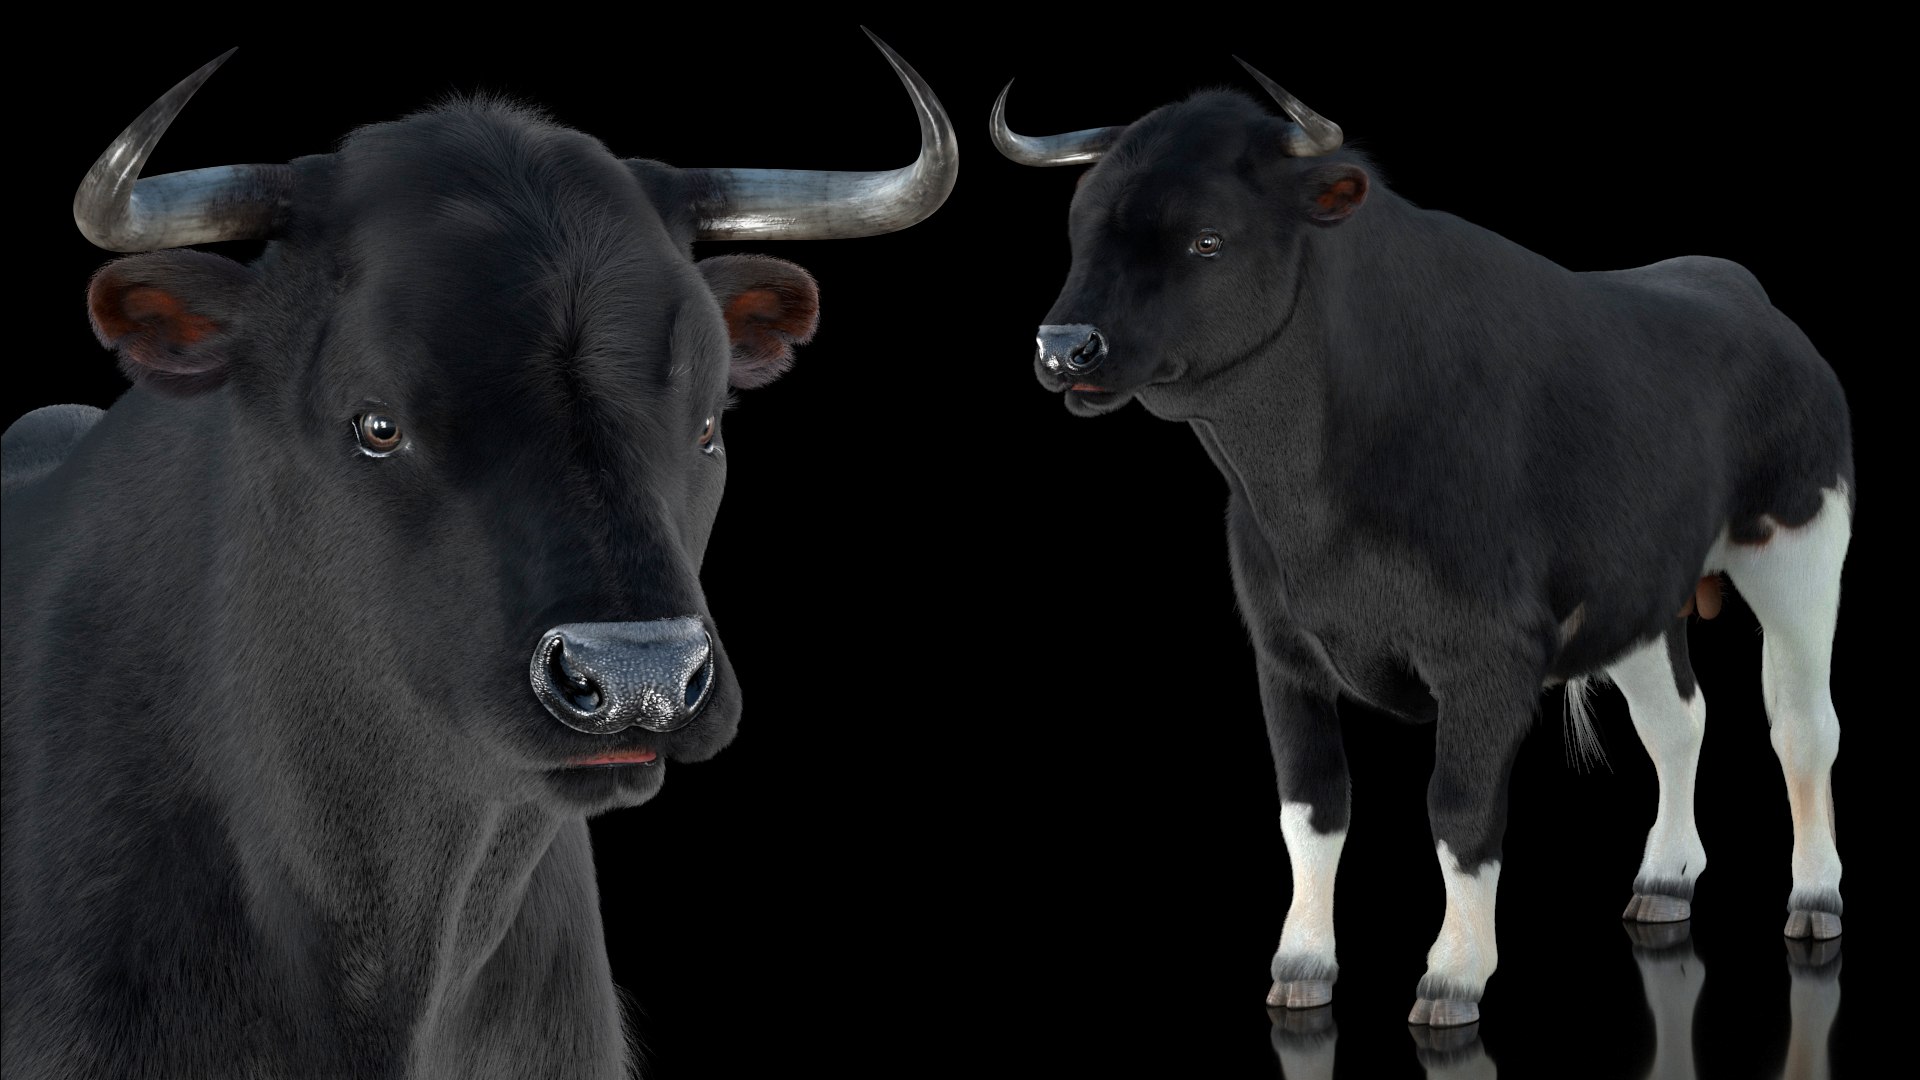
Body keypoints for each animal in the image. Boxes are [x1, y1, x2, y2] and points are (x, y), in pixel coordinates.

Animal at [993, 61, 1852, 1027]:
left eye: (1207, 240)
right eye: (1080, 229)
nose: (1065, 348)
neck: (1315, 505)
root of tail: (1741, 289)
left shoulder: (1488, 657)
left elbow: (1462, 811)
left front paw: (1454, 973)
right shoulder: (1282, 652)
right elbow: (1311, 807)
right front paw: (1302, 964)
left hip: (1801, 546)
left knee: (1802, 724)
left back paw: (1817, 898)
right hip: (1639, 589)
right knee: (1678, 722)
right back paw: (1664, 880)